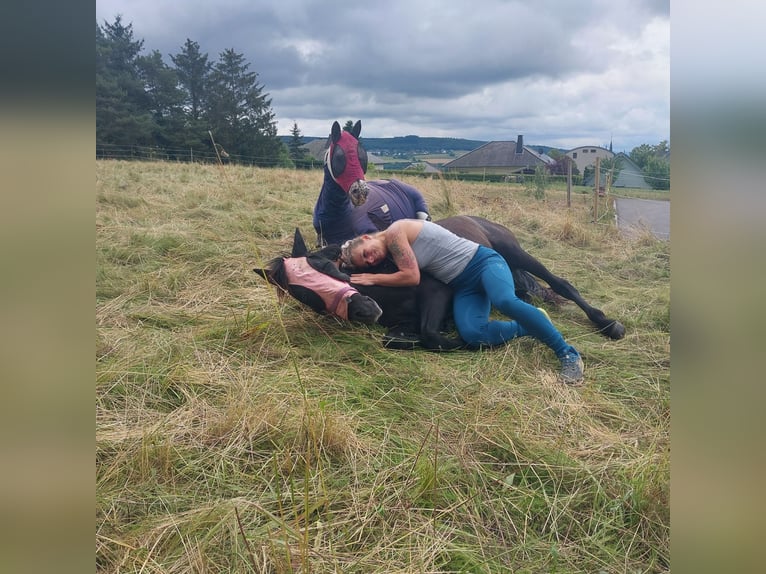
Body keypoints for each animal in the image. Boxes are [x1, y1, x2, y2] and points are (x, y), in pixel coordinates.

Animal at [255, 216, 628, 352]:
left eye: (327, 267)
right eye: (306, 295)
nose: (364, 310)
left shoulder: (439, 291)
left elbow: (434, 335)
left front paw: (456, 338)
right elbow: (395, 338)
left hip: (513, 252)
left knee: (560, 284)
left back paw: (608, 324)